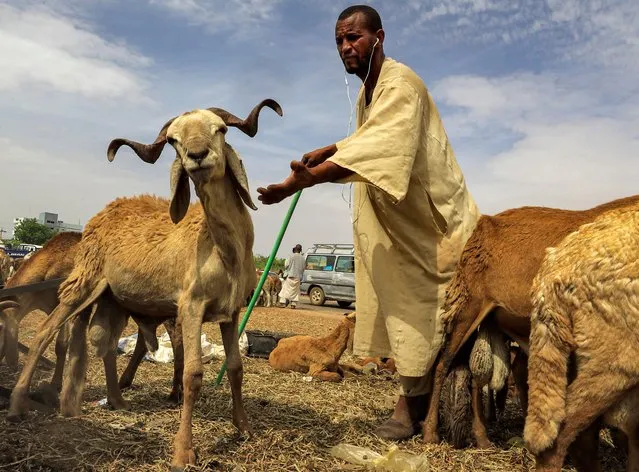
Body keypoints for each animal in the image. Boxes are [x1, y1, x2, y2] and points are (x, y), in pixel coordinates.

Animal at [6, 97, 282, 470]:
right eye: (173, 141)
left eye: (221, 129)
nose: (197, 155)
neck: (222, 248)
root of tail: (104, 212)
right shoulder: (191, 306)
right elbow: (192, 374)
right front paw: (183, 450)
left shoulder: (232, 311)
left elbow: (236, 369)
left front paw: (243, 428)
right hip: (83, 284)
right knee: (45, 333)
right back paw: (17, 404)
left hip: (112, 300)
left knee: (105, 345)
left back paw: (116, 399)